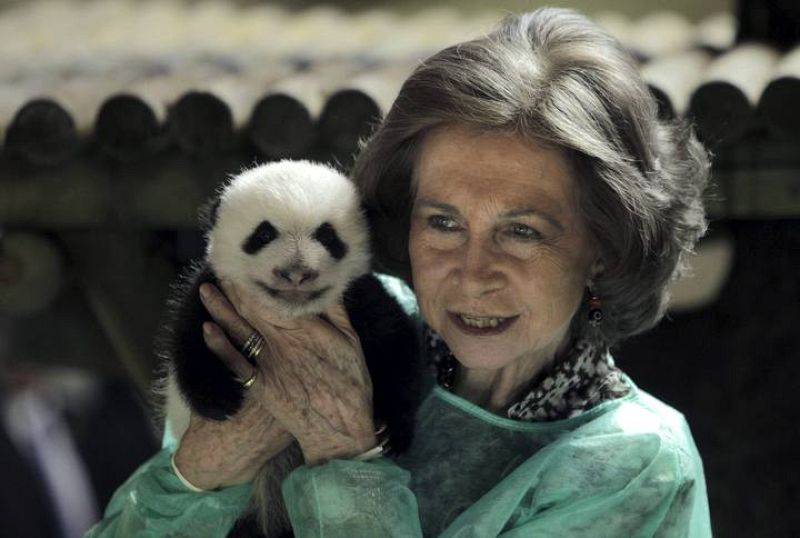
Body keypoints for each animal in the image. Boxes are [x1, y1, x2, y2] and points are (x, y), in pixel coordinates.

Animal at [156, 160, 423, 538]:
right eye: (263, 234)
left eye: (327, 236)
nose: (296, 274)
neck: (291, 312)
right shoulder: (215, 293)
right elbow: (191, 337)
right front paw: (219, 400)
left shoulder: (356, 299)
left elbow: (395, 345)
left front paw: (392, 428)